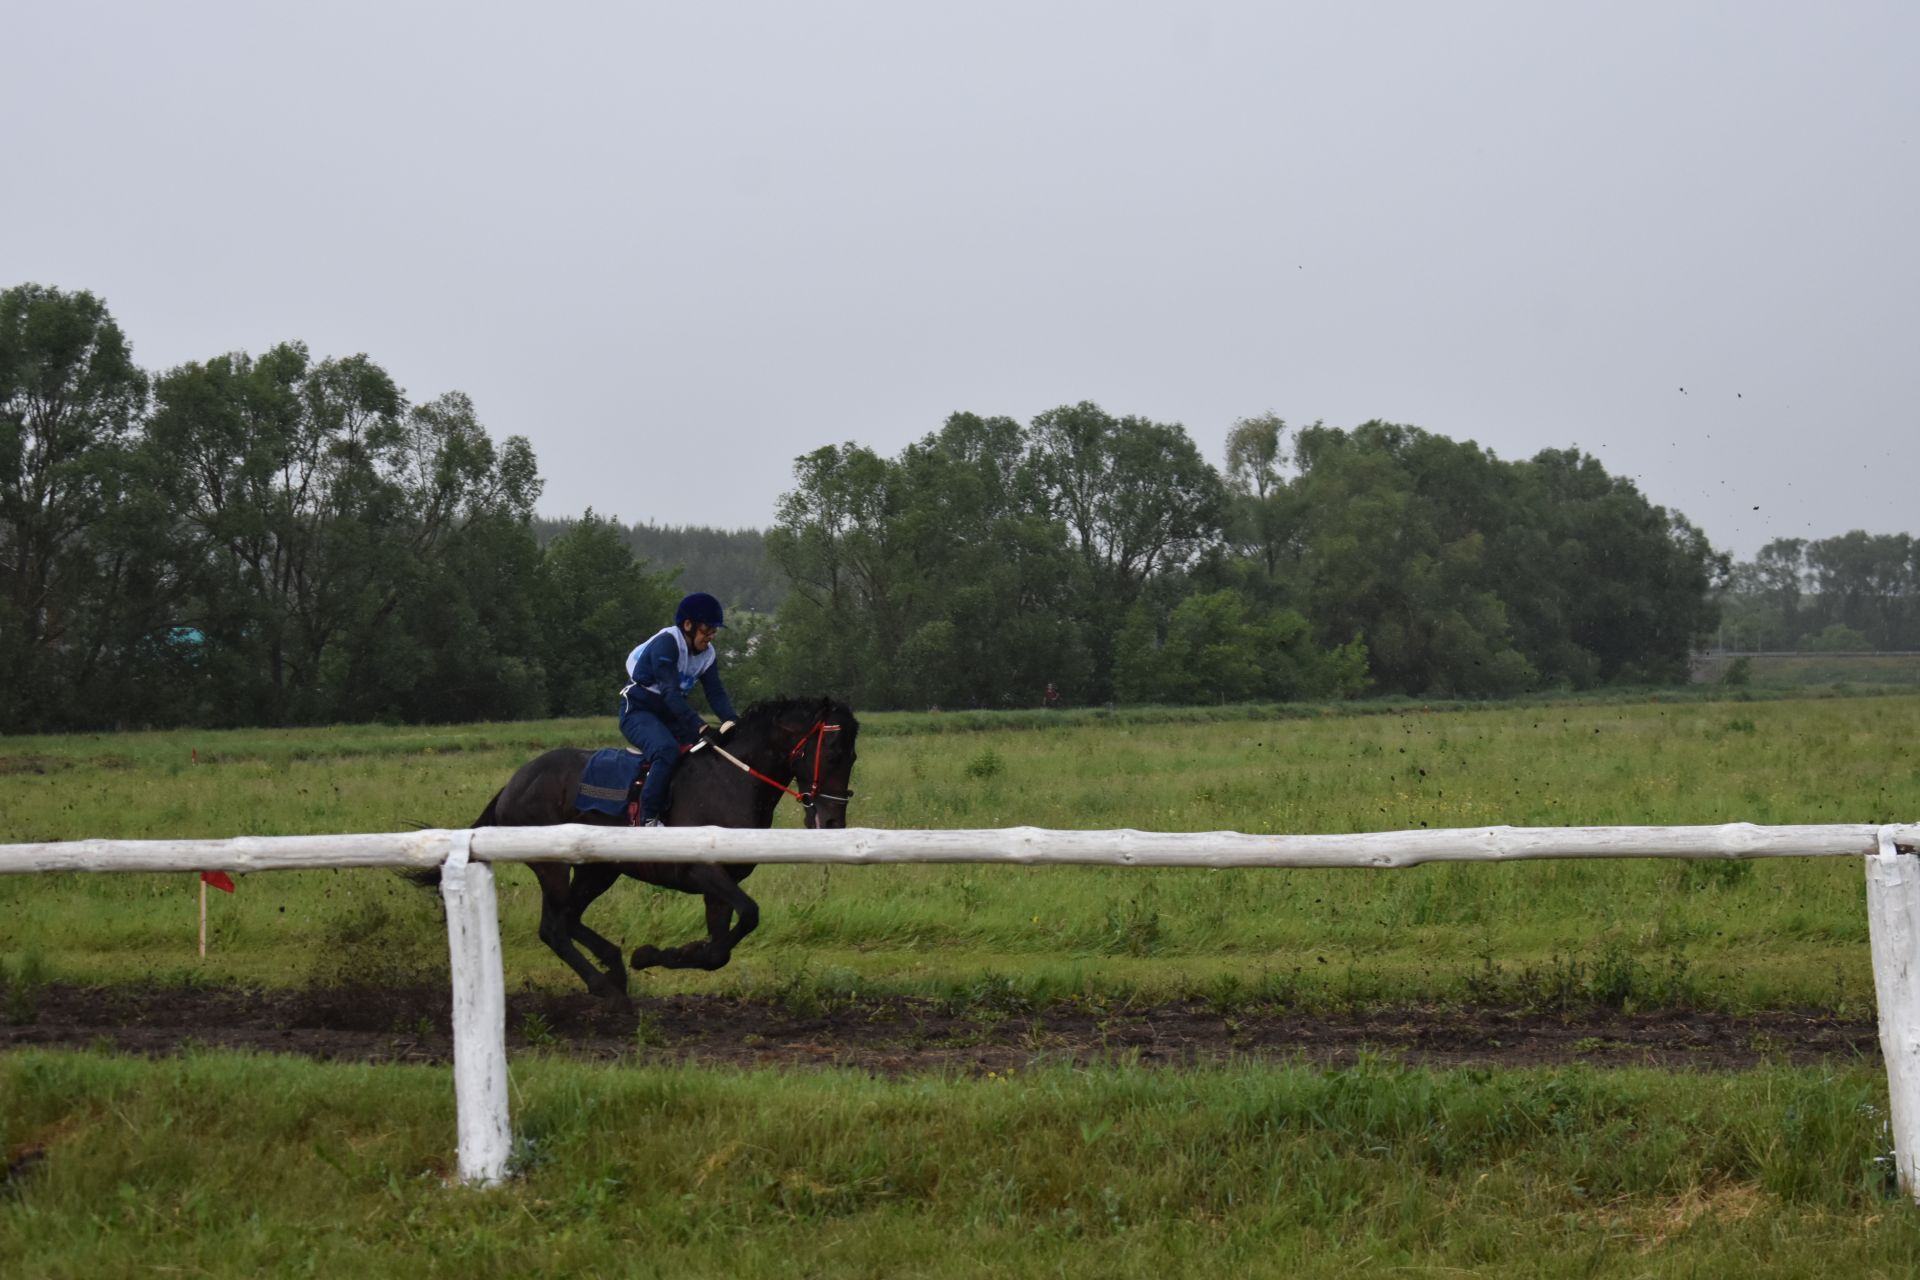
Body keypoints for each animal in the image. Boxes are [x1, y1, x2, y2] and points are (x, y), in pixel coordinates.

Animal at [460, 702, 852, 997]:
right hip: (552, 864)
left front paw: (656, 954)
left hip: (598, 869)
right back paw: (604, 986)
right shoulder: (701, 869)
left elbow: (720, 950)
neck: (731, 780)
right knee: (553, 927)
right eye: (834, 754)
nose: (833, 821)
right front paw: (657, 953)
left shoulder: (721, 883)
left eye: (853, 756)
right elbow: (748, 914)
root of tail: (515, 782)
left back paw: (615, 964)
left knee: (568, 917)